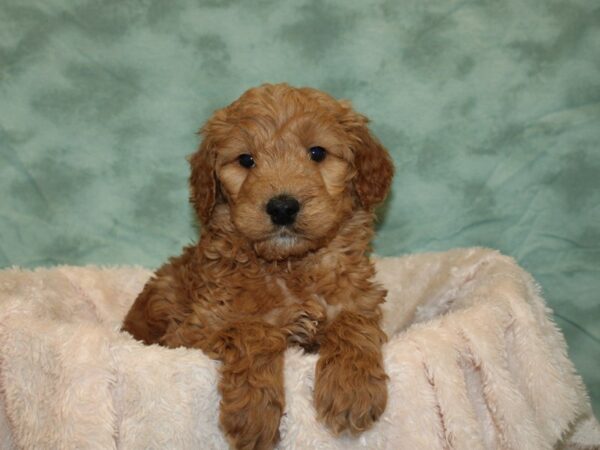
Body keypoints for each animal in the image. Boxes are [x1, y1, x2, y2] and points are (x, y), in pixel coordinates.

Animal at [121, 82, 394, 448]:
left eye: (317, 153)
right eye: (246, 160)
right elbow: (253, 329)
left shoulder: (359, 300)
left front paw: (351, 389)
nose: (282, 207)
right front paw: (254, 414)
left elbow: (353, 321)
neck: (289, 268)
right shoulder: (192, 332)